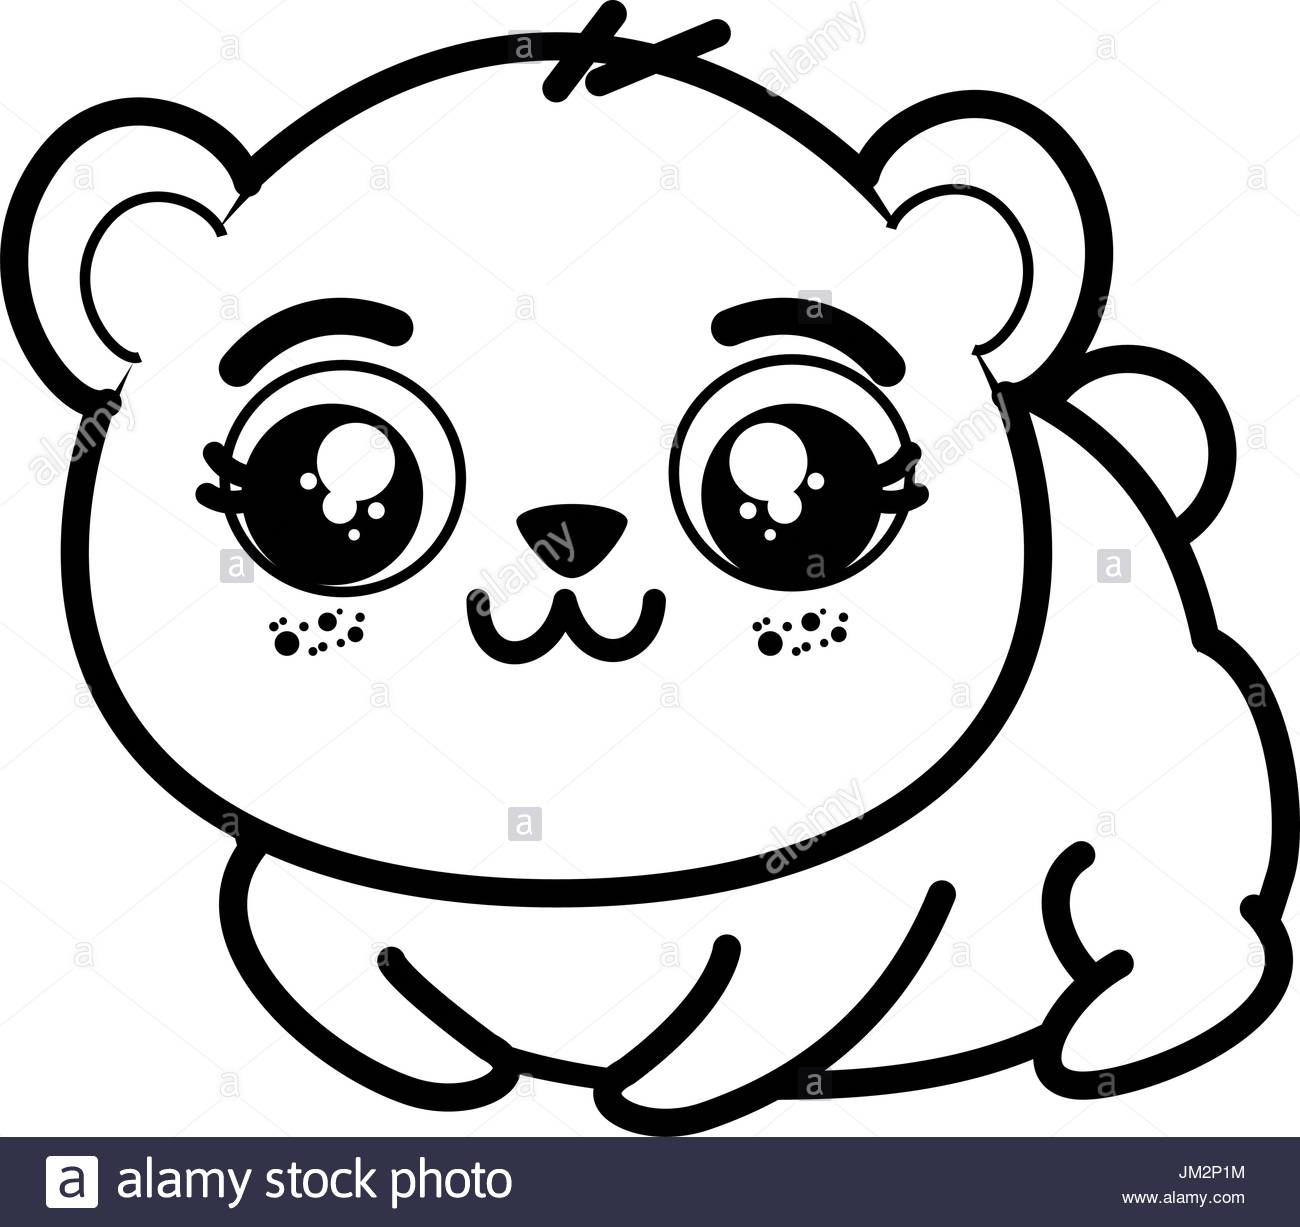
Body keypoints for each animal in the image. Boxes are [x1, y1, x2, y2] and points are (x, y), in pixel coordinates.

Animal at [2, 8, 1293, 1135]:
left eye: (808, 480)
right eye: (309, 485)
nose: (565, 529)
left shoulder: (835, 914)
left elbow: (755, 1003)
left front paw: (657, 1095)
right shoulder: (303, 891)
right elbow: (324, 967)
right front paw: (463, 1074)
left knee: (1172, 912)